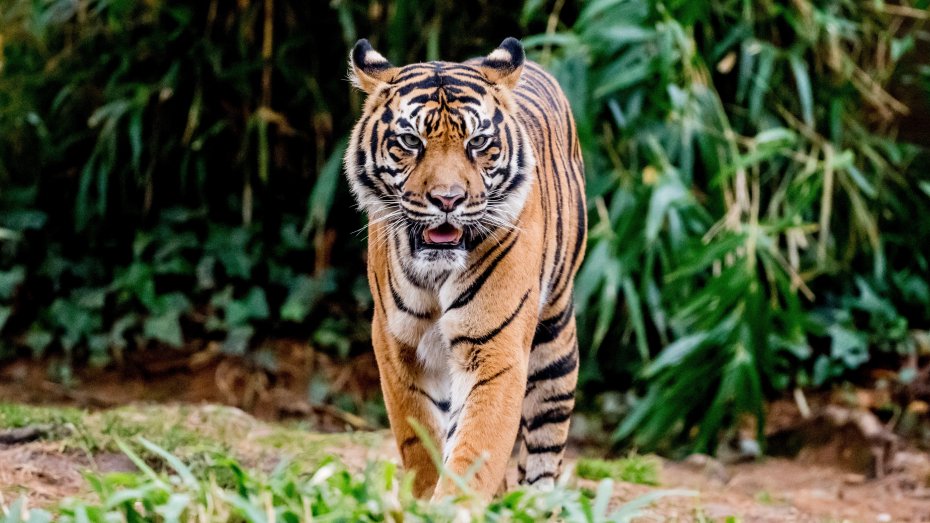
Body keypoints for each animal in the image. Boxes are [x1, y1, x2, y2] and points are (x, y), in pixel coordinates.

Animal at [344, 36, 587, 499]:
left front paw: (451, 505)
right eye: (410, 140)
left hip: (555, 340)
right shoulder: (396, 346)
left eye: (477, 142)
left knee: (545, 442)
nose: (448, 199)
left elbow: (475, 451)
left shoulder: (495, 351)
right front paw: (421, 500)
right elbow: (420, 441)